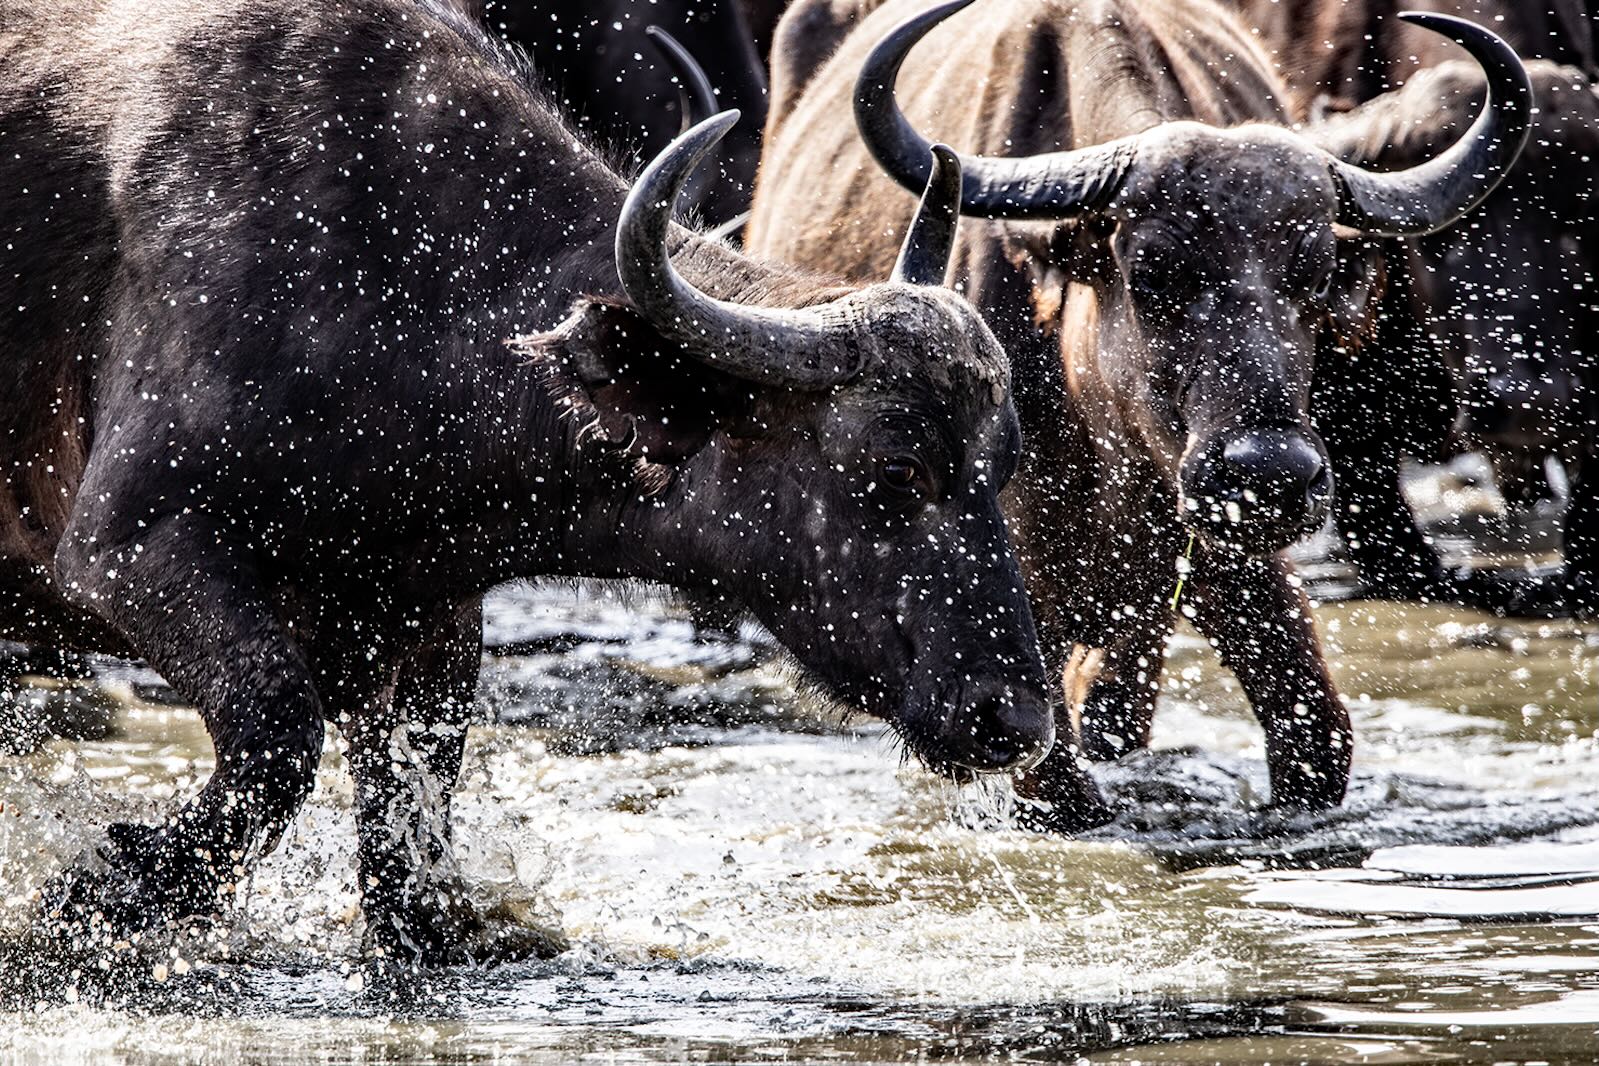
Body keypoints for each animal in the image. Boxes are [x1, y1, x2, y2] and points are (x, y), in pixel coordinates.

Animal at [0, 0, 1052, 961]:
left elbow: (407, 841)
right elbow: (277, 734)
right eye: (895, 466)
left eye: (998, 463)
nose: (1015, 719)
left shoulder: (432, 628)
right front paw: (101, 893)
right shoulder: (129, 553)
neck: (406, 282)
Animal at [748, 0, 1529, 829]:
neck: (1106, 448)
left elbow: (1314, 736)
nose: (1268, 476)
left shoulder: (1231, 561)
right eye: (1152, 271)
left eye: (1313, 275)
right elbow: (1057, 781)